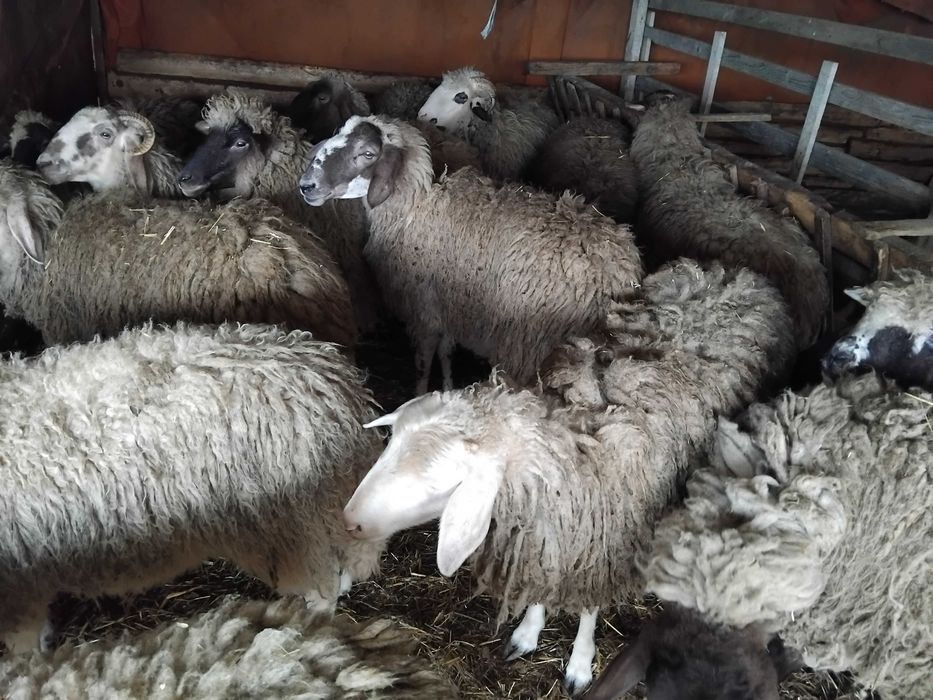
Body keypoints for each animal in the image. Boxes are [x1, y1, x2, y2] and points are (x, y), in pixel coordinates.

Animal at [298, 115, 643, 392]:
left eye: (367, 154)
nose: (306, 185)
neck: (415, 205)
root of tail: (618, 270)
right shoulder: (449, 306)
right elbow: (446, 354)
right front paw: (449, 387)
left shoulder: (424, 308)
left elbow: (423, 363)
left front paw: (418, 394)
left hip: (530, 345)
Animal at [342, 259, 795, 693]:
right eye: (391, 443)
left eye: (440, 479)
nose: (350, 522)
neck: (565, 454)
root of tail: (735, 274)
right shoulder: (549, 534)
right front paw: (528, 632)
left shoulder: (606, 542)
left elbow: (589, 608)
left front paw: (579, 662)